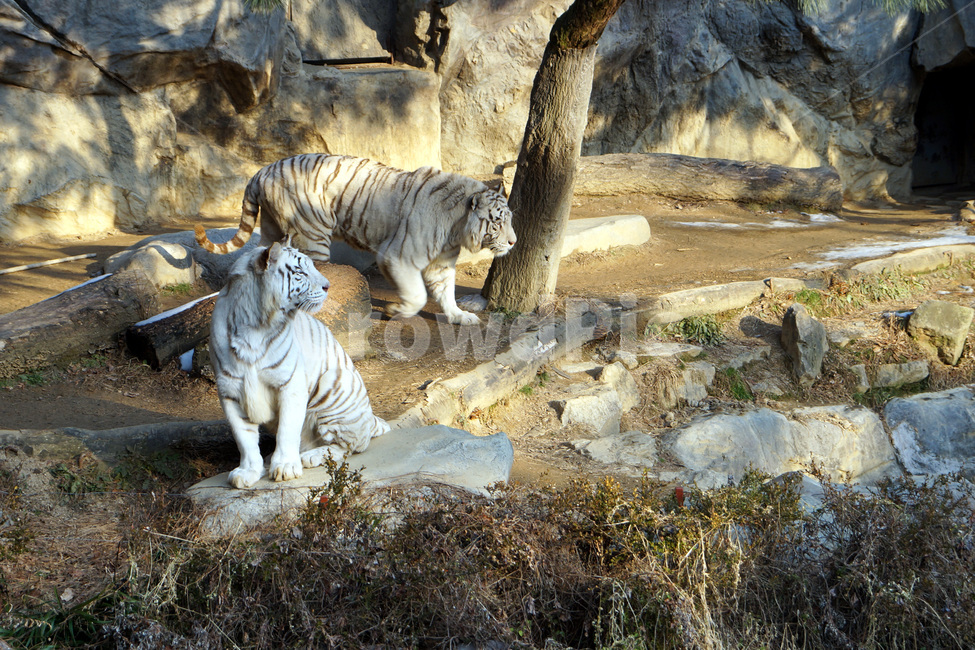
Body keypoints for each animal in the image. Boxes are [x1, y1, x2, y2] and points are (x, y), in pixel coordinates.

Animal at [195, 154, 517, 326]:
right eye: (499, 222)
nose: (514, 242)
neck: (456, 228)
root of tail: (262, 171)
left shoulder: (441, 262)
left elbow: (446, 291)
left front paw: (459, 316)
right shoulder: (398, 255)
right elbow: (418, 295)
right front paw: (394, 311)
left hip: (272, 228)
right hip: (313, 234)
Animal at [209, 238, 390, 489]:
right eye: (301, 272)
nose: (328, 286)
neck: (254, 325)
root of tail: (371, 419)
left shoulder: (290, 384)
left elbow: (287, 428)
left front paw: (285, 467)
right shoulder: (230, 391)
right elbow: (243, 437)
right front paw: (247, 472)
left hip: (331, 389)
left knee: (350, 446)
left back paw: (310, 456)